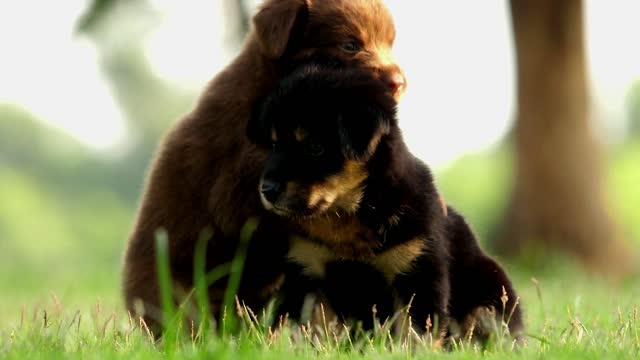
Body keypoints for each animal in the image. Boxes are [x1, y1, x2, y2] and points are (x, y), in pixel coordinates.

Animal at [248, 65, 524, 344]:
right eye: (274, 144)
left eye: (315, 147)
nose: (266, 190)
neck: (348, 216)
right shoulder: (309, 271)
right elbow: (314, 327)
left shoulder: (417, 271)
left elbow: (416, 334)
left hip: (489, 291)